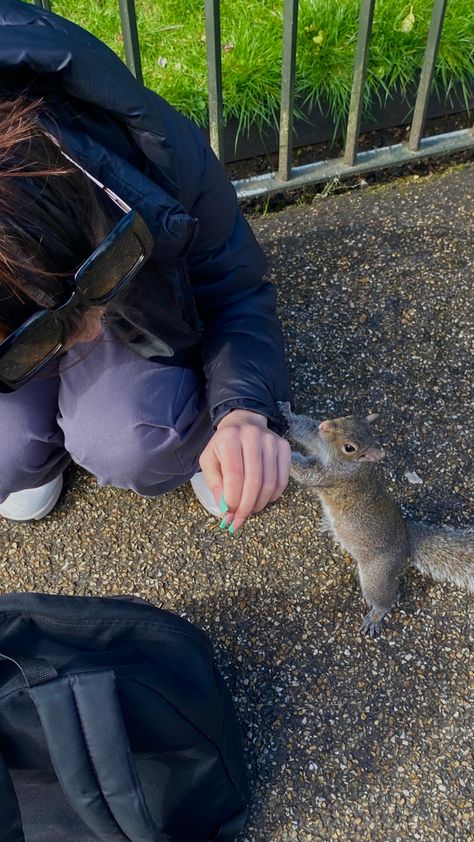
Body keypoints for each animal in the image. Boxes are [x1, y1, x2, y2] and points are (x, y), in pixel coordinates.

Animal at [278, 402, 474, 636]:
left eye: (350, 448)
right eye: (347, 417)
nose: (325, 425)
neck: (350, 464)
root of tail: (407, 542)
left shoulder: (331, 476)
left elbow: (307, 472)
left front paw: (284, 453)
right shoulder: (318, 441)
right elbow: (305, 430)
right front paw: (287, 413)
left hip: (377, 575)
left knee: (384, 599)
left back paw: (376, 615)